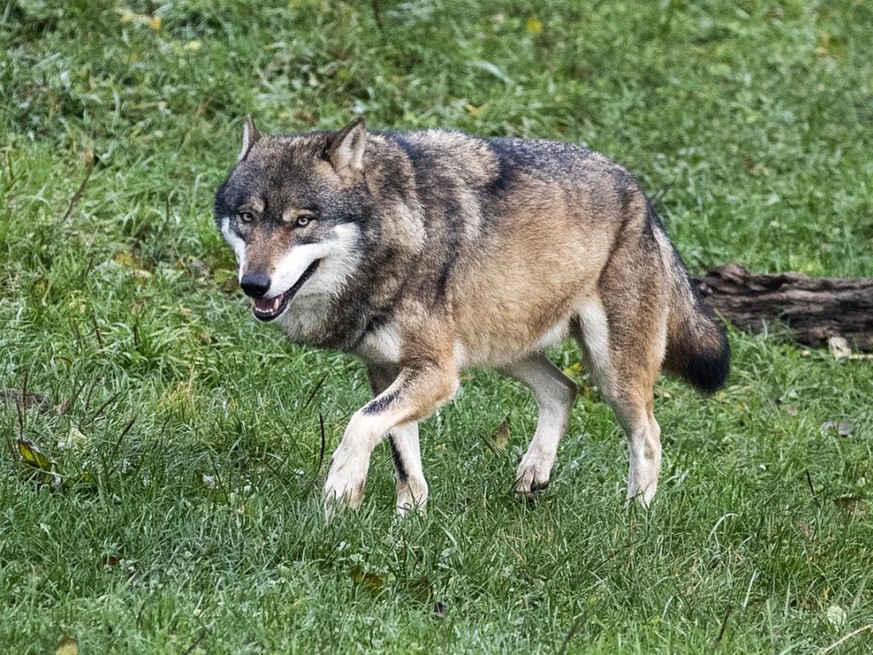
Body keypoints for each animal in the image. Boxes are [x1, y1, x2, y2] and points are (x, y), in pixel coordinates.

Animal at [213, 118, 728, 516]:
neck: (399, 235)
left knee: (648, 436)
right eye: (247, 217)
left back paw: (634, 517)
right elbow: (403, 456)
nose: (254, 284)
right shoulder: (387, 370)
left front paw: (341, 492)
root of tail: (640, 195)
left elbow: (359, 424)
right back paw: (533, 473)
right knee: (564, 390)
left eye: (302, 221)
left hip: (612, 374)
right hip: (506, 348)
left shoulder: (437, 374)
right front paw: (409, 523)